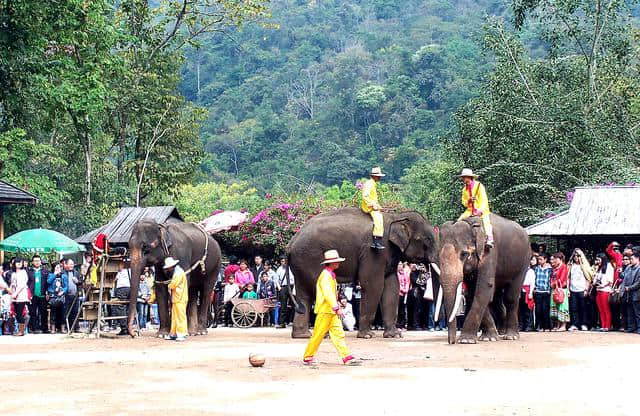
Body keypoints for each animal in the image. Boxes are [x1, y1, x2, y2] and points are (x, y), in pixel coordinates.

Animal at [286, 210, 440, 340]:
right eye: (427, 240)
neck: (396, 217)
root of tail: (290, 243)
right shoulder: (374, 252)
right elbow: (373, 285)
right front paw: (367, 336)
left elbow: (392, 287)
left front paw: (394, 335)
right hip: (310, 259)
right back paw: (324, 336)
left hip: (302, 264)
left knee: (304, 294)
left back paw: (303, 335)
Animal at [438, 214, 528, 344]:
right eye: (438, 256)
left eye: (464, 254)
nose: (451, 342)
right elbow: (473, 292)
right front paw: (488, 338)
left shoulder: (490, 251)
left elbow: (484, 288)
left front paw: (466, 340)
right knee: (496, 299)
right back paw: (500, 332)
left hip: (523, 262)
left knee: (511, 297)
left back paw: (511, 336)